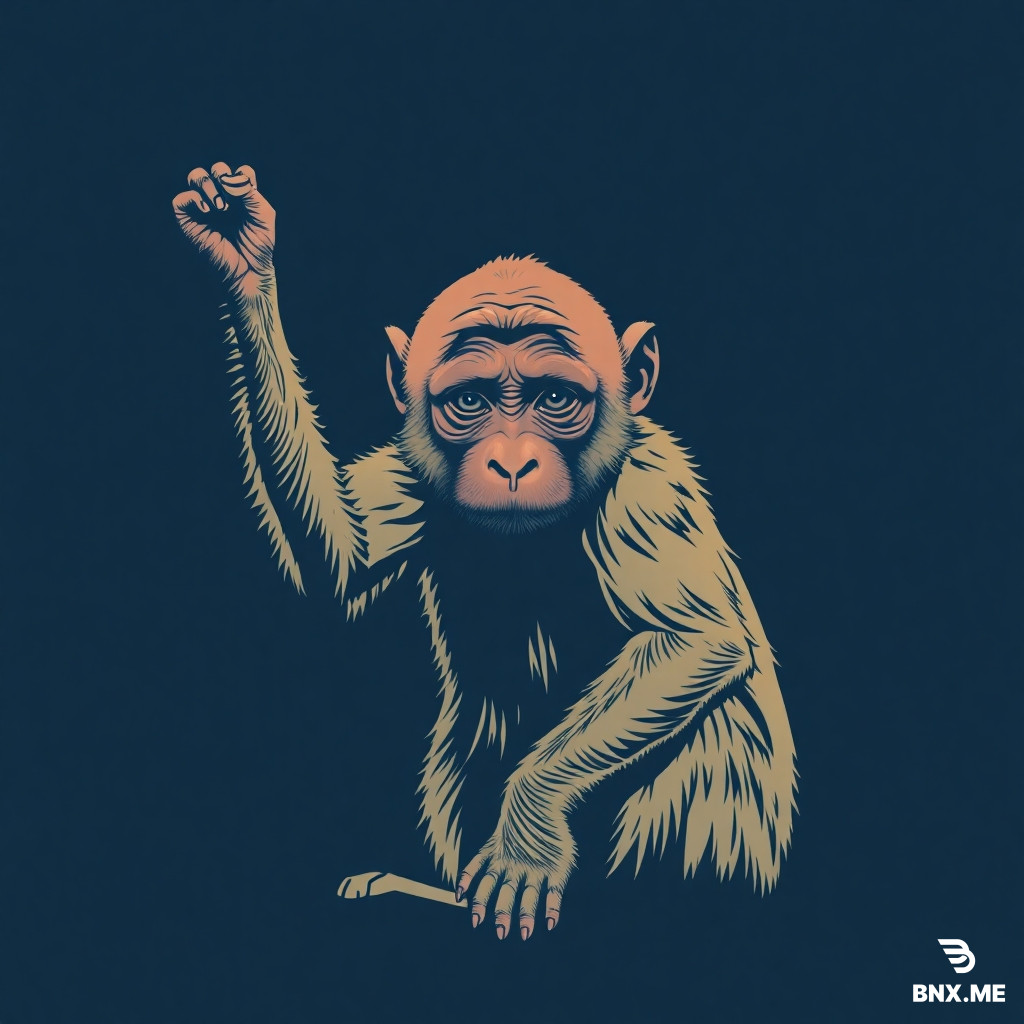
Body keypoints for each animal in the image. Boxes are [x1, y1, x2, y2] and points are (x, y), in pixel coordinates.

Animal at [173, 161, 798, 942]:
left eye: (554, 397)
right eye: (469, 402)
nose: (510, 461)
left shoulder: (649, 488)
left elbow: (698, 639)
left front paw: (529, 828)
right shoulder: (412, 466)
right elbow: (343, 554)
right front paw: (243, 256)